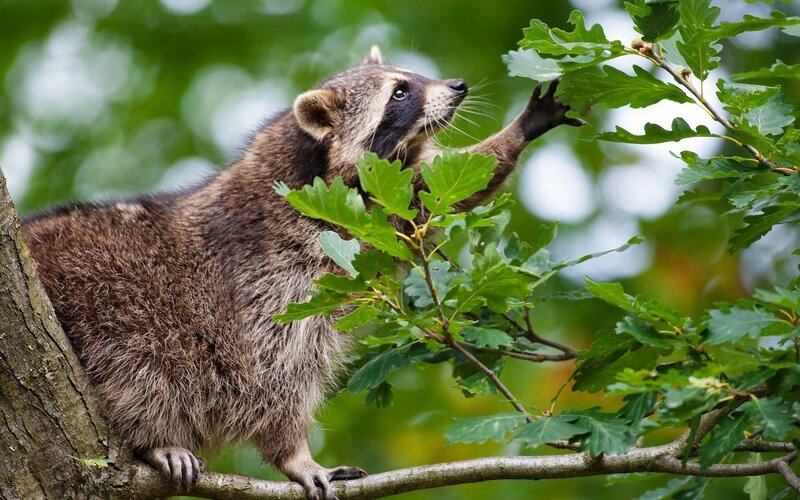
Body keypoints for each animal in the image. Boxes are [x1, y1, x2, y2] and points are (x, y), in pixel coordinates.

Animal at [21, 46, 581, 500]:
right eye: (400, 91)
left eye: (414, 74)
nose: (458, 87)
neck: (313, 164)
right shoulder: (273, 274)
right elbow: (275, 373)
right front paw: (294, 455)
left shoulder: (385, 208)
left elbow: (449, 186)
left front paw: (519, 129)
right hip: (106, 292)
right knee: (141, 364)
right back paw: (154, 439)